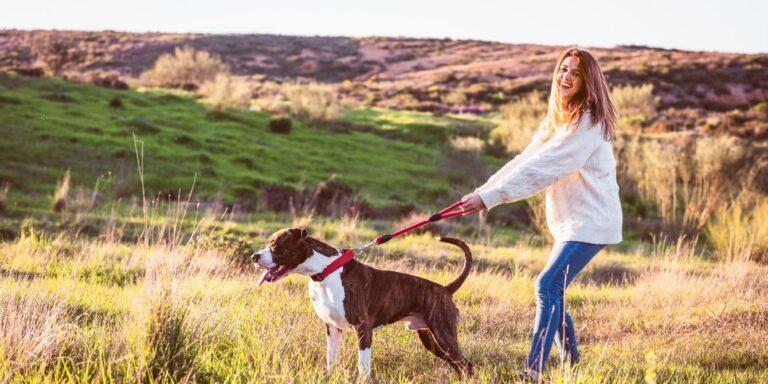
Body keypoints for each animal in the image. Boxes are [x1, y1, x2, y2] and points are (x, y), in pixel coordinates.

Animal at [252, 226, 474, 380]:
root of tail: (445, 289)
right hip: (431, 339)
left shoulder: (363, 328)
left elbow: (363, 366)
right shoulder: (332, 329)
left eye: (275, 245)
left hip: (443, 334)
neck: (325, 271)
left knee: (466, 365)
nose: (254, 256)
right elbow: (331, 360)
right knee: (458, 365)